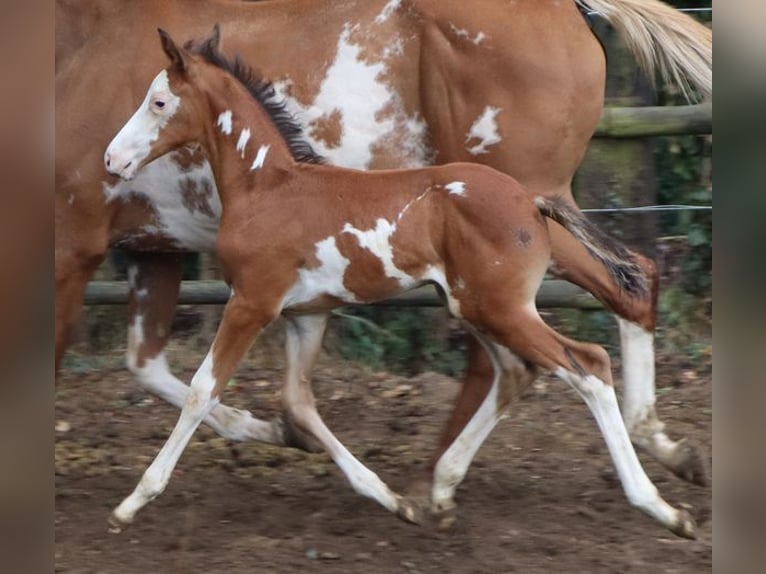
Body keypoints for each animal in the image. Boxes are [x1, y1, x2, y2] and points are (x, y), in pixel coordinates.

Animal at [55, 0, 712, 504]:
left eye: (159, 101)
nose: (113, 159)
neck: (271, 182)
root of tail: (529, 200)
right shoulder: (281, 301)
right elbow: (285, 401)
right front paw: (357, 479)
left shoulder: (240, 298)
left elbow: (197, 387)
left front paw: (135, 499)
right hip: (484, 295)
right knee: (584, 321)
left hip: (500, 290)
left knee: (580, 356)